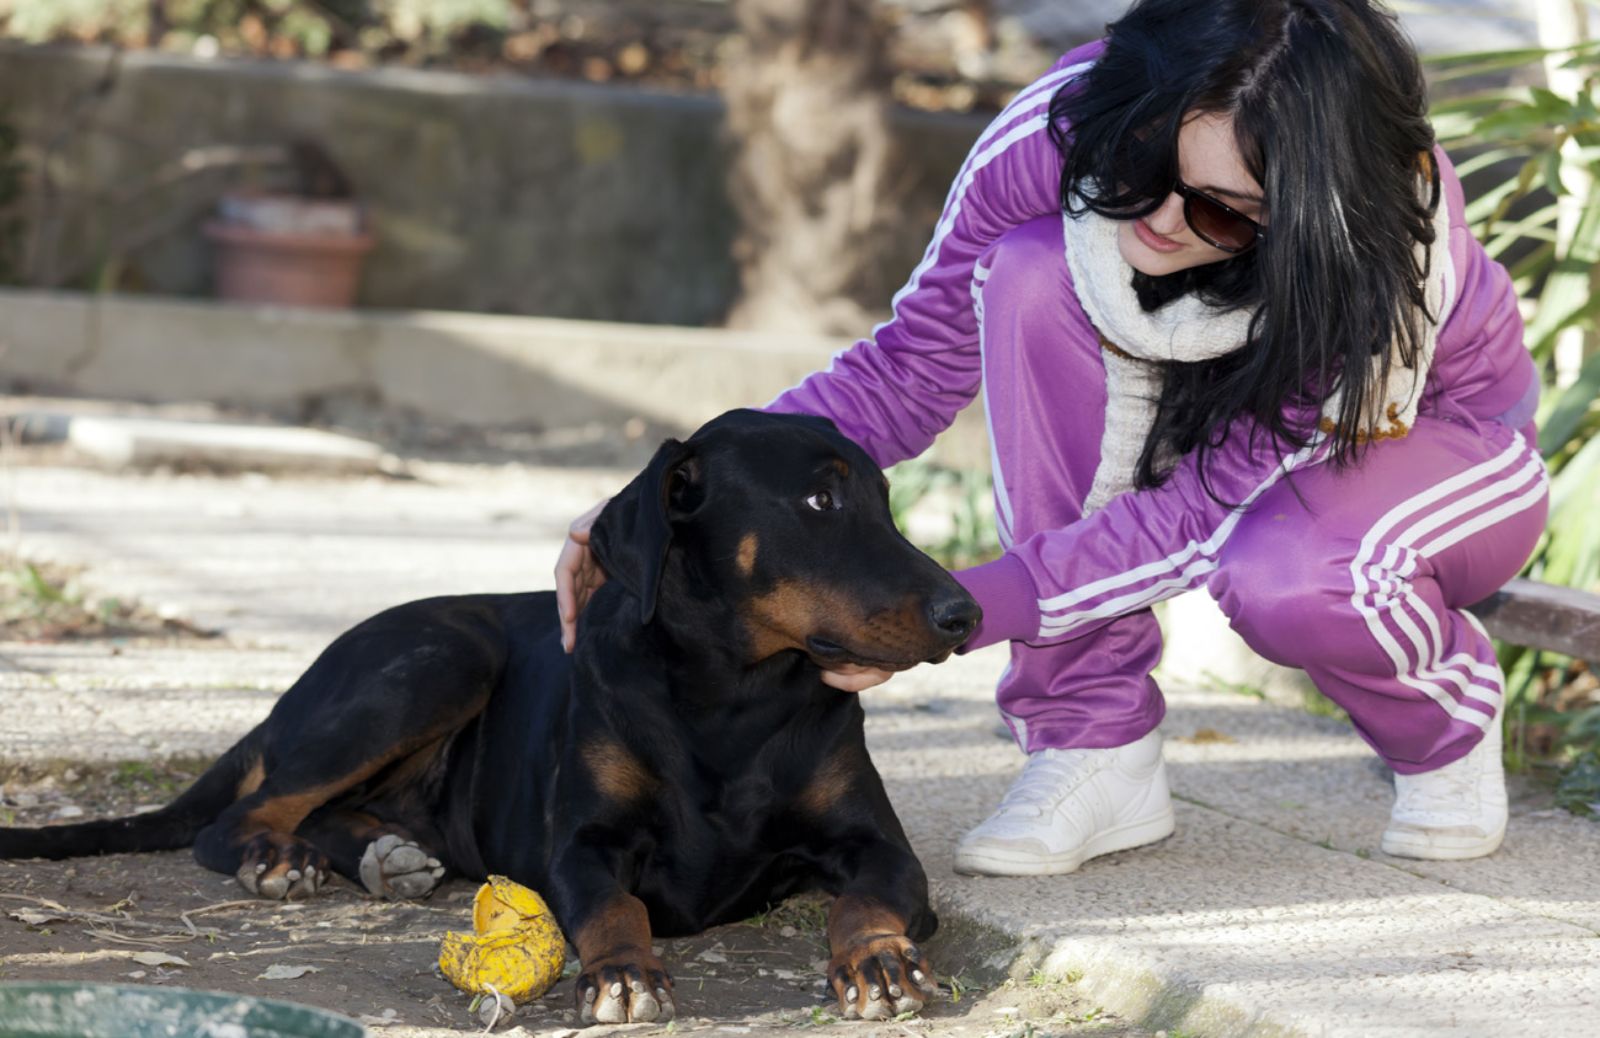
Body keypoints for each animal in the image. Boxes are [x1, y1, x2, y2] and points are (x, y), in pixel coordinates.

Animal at [0, 409, 979, 1023]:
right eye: (820, 500)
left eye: (888, 501)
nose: (965, 614)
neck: (731, 693)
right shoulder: (581, 846)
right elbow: (614, 907)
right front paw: (623, 975)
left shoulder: (876, 845)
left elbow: (866, 899)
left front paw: (879, 961)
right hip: (442, 656)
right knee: (244, 814)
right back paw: (278, 860)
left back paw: (384, 855)